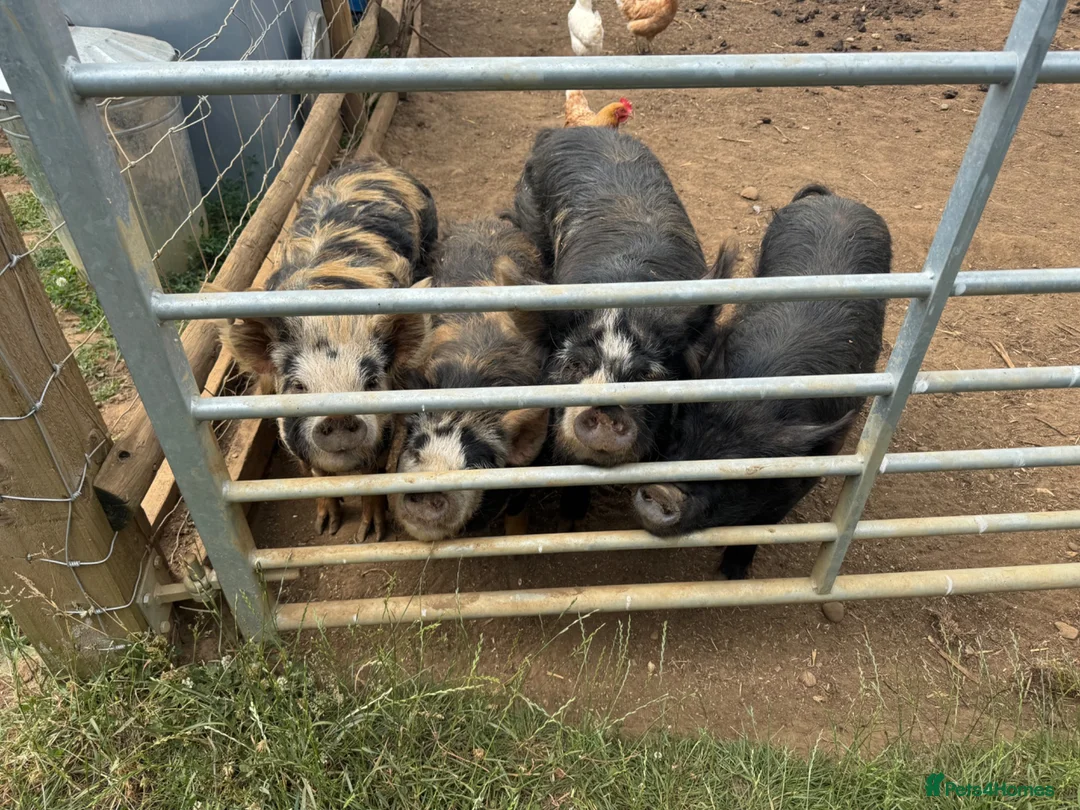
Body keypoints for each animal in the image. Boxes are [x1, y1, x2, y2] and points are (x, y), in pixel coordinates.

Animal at [224, 157, 438, 542]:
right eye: (298, 386)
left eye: (371, 384)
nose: (337, 417)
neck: (329, 319)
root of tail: (372, 164)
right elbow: (317, 476)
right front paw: (326, 527)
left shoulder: (388, 426)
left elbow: (374, 475)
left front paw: (369, 535)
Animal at [387, 218, 550, 542]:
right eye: (416, 445)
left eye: (475, 461)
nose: (430, 487)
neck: (471, 379)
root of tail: (486, 222)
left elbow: (517, 515)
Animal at [633, 184, 892, 580]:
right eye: (678, 435)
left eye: (739, 475)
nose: (663, 492)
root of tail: (837, 199)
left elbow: (758, 526)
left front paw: (730, 576)